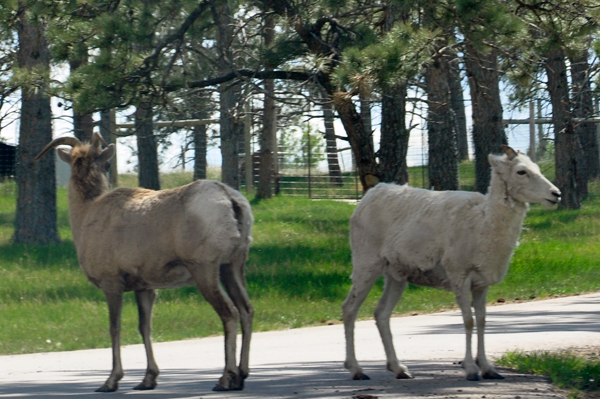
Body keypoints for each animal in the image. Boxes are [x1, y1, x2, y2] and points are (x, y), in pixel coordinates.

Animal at [37, 134, 253, 394]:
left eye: (107, 164)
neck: (84, 216)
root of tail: (234, 203)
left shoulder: (111, 280)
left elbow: (114, 327)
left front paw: (111, 380)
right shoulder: (145, 286)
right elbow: (145, 327)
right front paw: (148, 379)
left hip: (204, 264)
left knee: (229, 312)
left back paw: (226, 378)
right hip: (233, 263)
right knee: (247, 309)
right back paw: (242, 375)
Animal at [342, 145, 564, 382]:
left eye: (536, 168)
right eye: (521, 171)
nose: (556, 194)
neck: (483, 224)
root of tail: (367, 198)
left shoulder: (481, 283)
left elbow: (482, 321)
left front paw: (488, 369)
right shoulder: (459, 275)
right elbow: (468, 321)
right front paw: (471, 370)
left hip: (396, 275)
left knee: (381, 314)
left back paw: (399, 369)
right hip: (366, 264)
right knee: (349, 309)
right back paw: (357, 370)